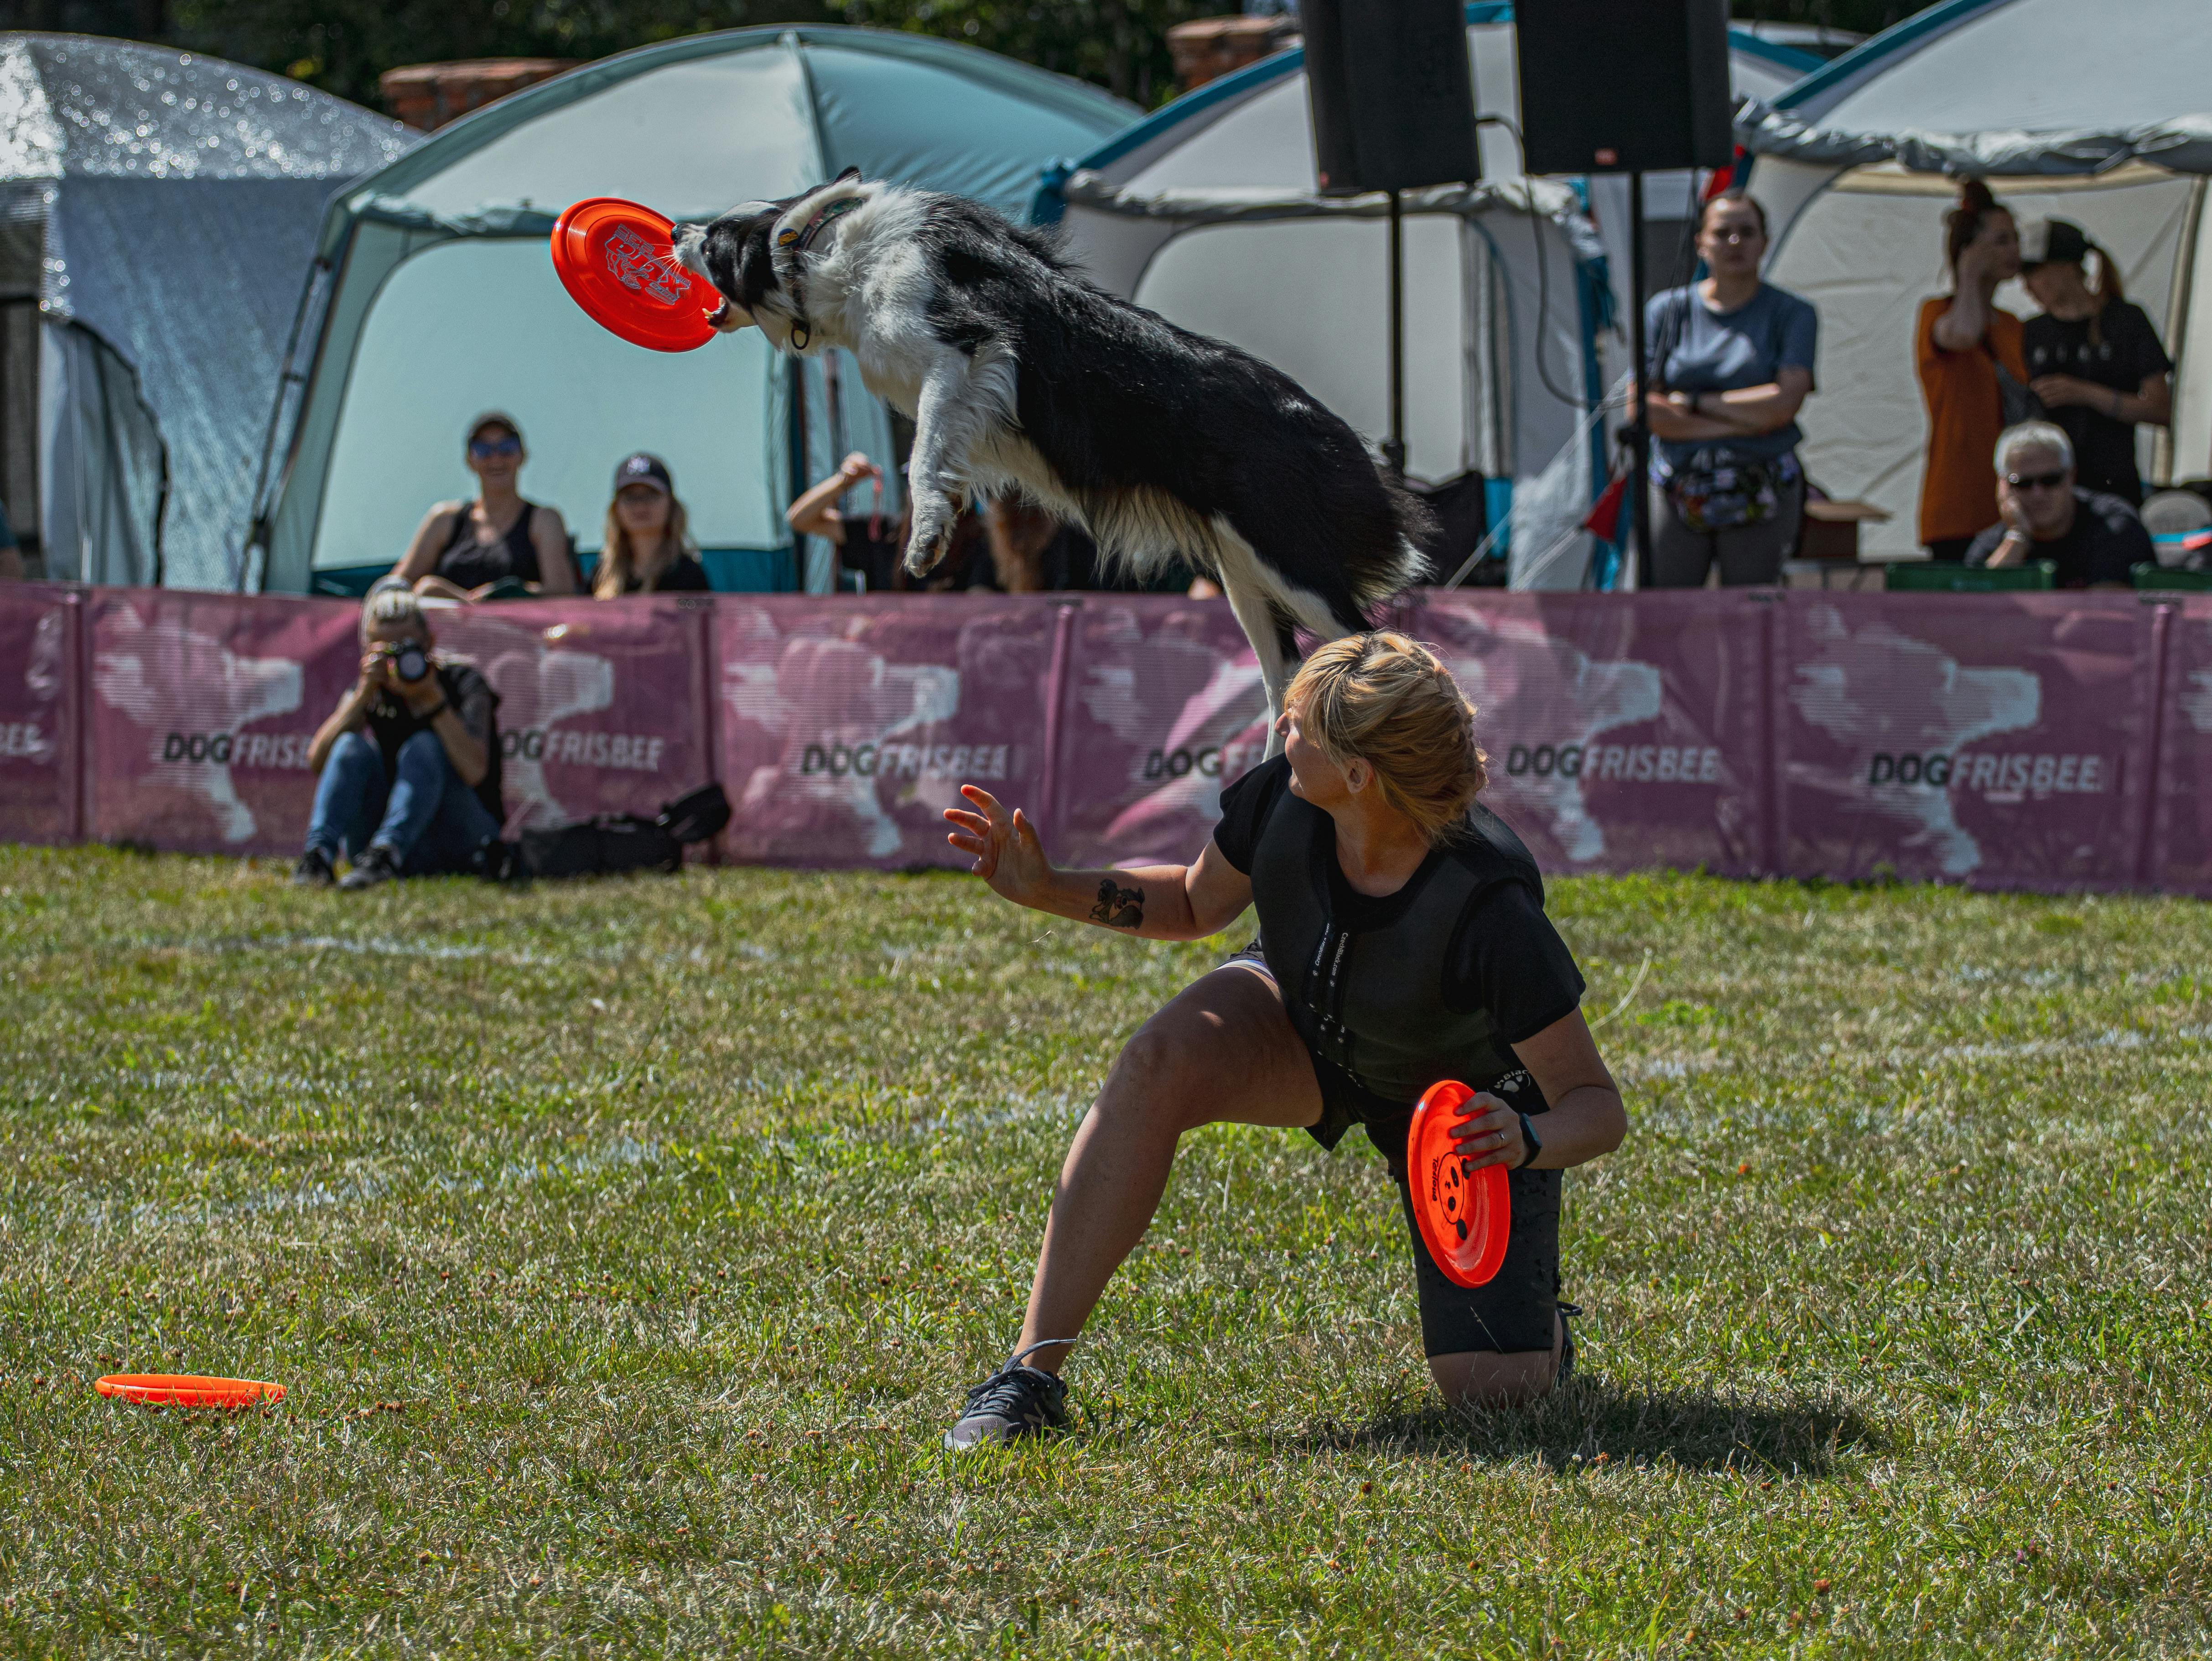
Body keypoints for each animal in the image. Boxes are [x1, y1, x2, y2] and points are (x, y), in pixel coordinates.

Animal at [672, 167, 1433, 725]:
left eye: (715, 242)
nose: (677, 226)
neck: (825, 257)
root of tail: (1339, 437)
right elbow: (936, 452)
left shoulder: (963, 350)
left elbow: (921, 455)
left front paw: (925, 538)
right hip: (1246, 579)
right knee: (1287, 683)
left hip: (1292, 563)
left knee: (1373, 645)